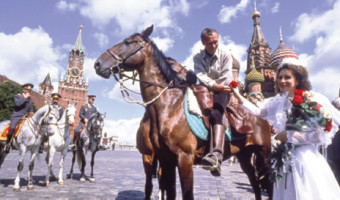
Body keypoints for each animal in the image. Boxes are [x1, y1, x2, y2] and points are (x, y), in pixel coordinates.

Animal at [94, 25, 272, 200]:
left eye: (128, 41)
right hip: (244, 156)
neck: (169, 106)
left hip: (264, 154)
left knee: (269, 185)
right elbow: (168, 191)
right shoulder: (166, 159)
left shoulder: (184, 158)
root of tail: (261, 114)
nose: (97, 64)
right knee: (256, 185)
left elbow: (186, 193)